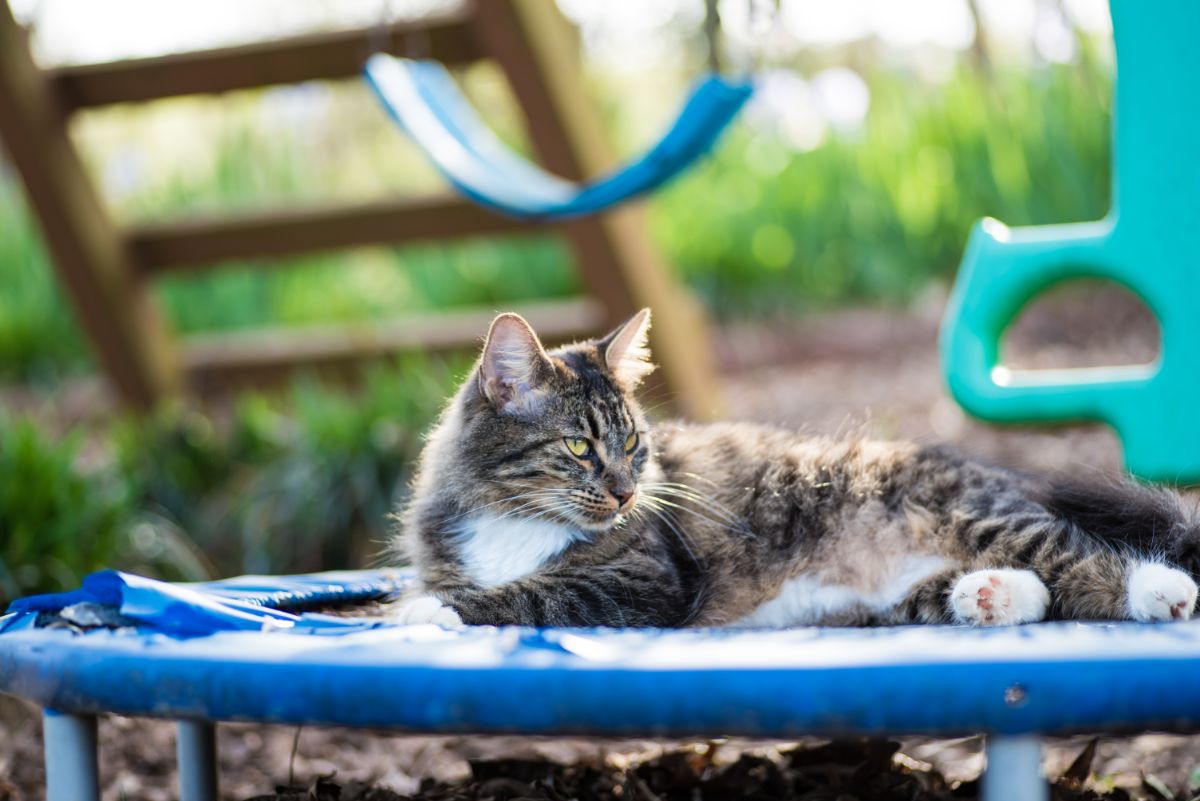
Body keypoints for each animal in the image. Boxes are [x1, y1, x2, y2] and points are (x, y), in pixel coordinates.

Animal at [388, 309, 1195, 628]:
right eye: (581, 447)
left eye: (634, 445)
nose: (624, 492)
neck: (510, 516)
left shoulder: (645, 578)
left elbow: (533, 592)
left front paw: (427, 613)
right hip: (895, 598)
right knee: (1041, 592)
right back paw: (993, 596)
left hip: (988, 515)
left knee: (1090, 561)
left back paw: (1163, 592)